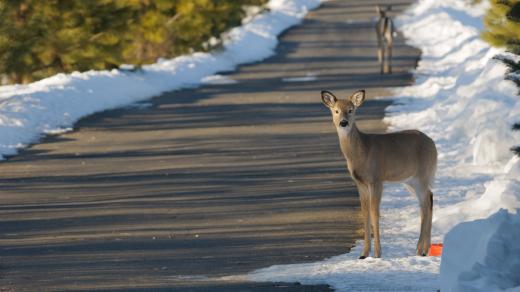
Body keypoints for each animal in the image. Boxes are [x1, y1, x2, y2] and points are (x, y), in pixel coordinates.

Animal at [320, 89, 438, 258]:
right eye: (336, 110)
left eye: (351, 110)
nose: (343, 122)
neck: (362, 151)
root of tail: (433, 144)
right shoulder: (360, 183)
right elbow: (365, 213)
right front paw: (363, 254)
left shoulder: (376, 179)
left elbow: (374, 212)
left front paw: (377, 253)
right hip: (410, 180)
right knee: (428, 200)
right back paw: (422, 248)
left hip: (422, 174)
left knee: (426, 202)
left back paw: (422, 249)